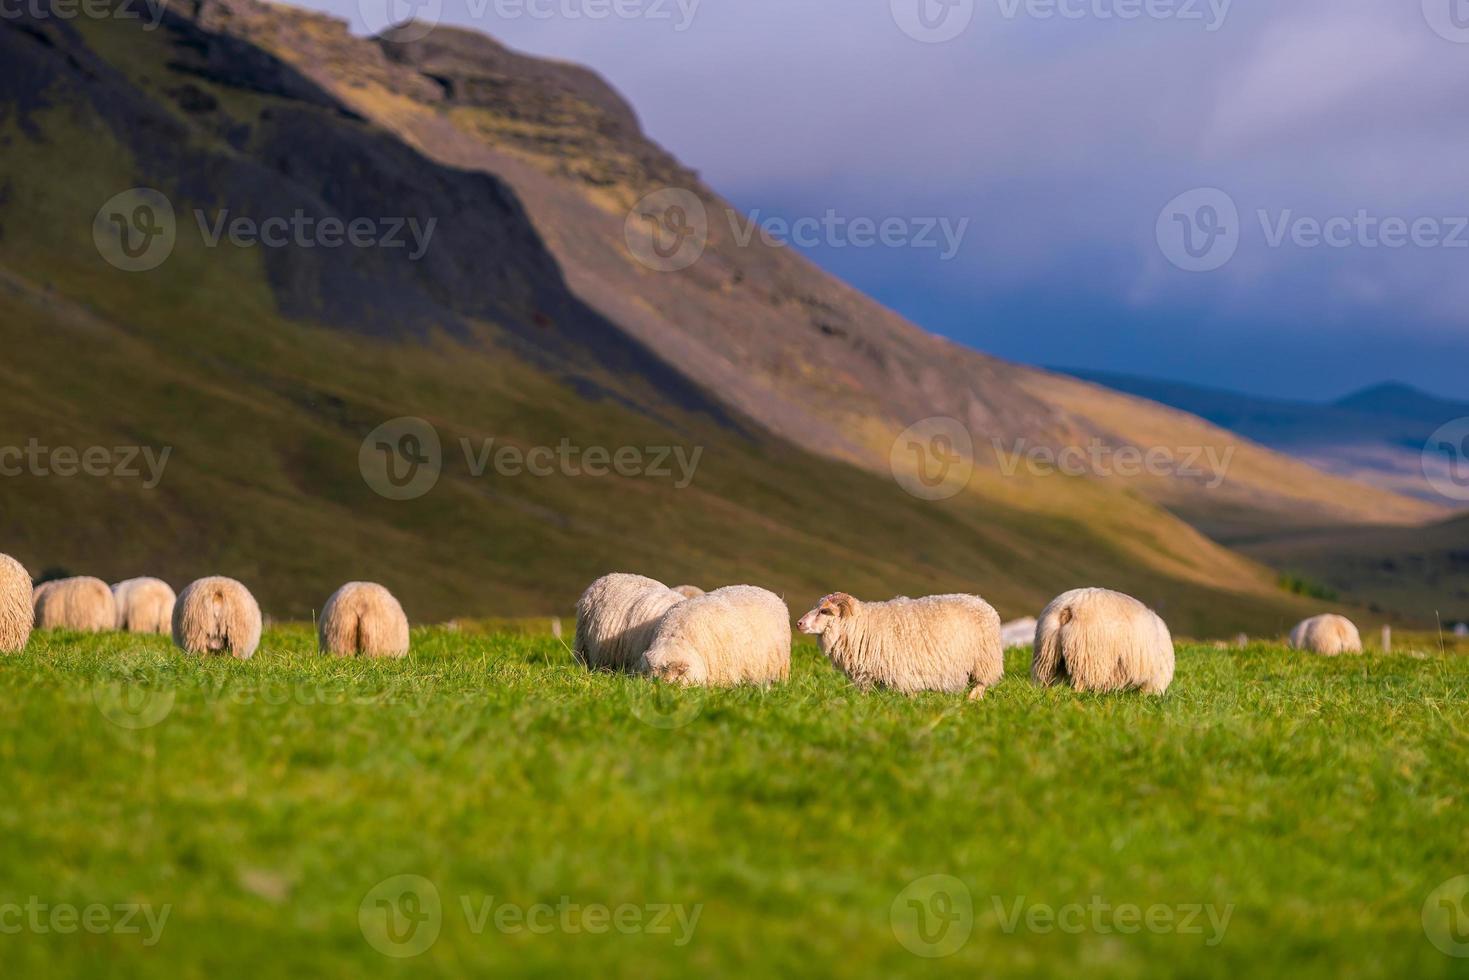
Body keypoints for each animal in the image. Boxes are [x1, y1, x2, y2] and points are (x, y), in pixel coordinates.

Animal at [643, 587, 793, 687]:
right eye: (652, 675)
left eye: (674, 677)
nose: (658, 688)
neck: (676, 637)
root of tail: (773, 595)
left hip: (781, 667)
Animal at [799, 593, 1004, 702]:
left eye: (824, 611)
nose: (799, 623)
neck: (862, 625)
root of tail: (982, 602)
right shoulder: (868, 674)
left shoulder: (904, 673)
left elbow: (910, 696)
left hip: (985, 660)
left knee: (981, 684)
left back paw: (971, 701)